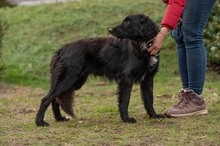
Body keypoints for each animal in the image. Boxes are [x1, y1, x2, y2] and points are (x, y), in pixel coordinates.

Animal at [35, 13, 163, 126]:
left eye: (128, 21)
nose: (110, 30)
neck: (142, 46)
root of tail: (61, 50)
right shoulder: (126, 78)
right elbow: (125, 100)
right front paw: (126, 119)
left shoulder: (148, 78)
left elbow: (149, 100)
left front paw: (154, 116)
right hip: (68, 80)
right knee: (45, 99)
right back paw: (40, 122)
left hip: (76, 82)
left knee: (55, 99)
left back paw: (59, 118)